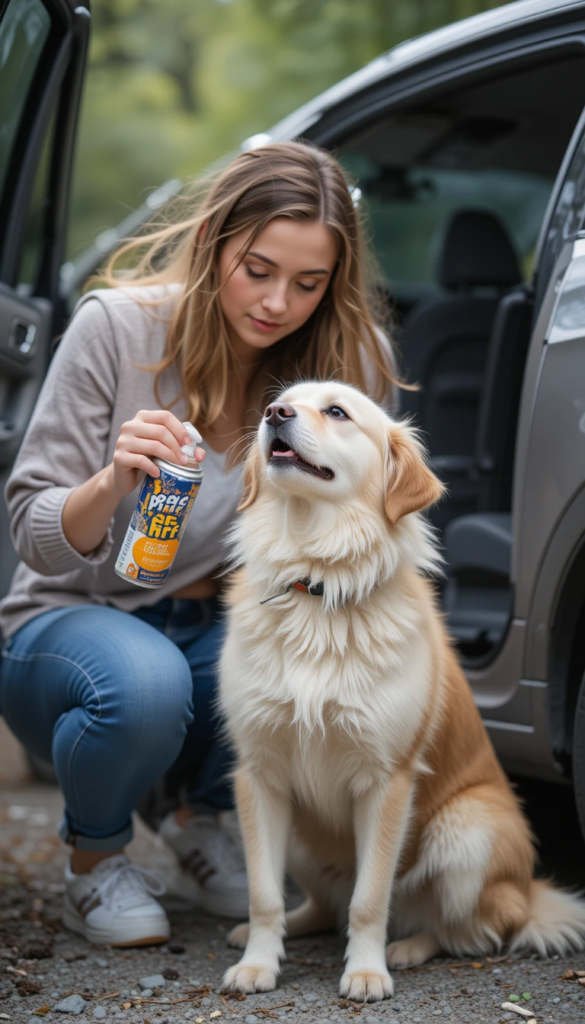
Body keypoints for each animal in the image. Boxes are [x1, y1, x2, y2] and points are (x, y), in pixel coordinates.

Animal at [217, 382, 585, 999]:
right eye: (285, 399)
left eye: (337, 412)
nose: (274, 414)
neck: (316, 581)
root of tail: (527, 892)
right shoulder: (260, 774)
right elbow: (265, 893)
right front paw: (259, 962)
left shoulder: (386, 780)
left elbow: (370, 899)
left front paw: (366, 971)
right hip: (304, 836)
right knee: (323, 906)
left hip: (466, 831)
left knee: (466, 931)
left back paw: (407, 948)